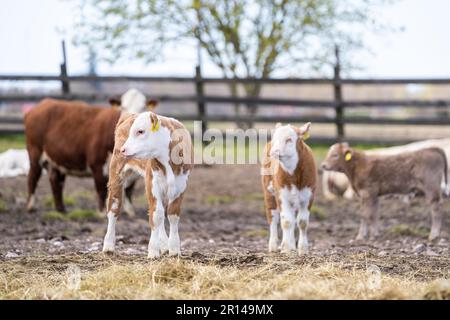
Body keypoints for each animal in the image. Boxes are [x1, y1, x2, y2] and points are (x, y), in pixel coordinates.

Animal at [103, 112, 192, 258]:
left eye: (140, 131)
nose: (123, 150)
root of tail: (129, 114)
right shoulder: (152, 183)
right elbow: (156, 216)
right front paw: (153, 251)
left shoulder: (181, 186)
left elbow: (172, 214)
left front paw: (174, 249)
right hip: (116, 174)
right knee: (113, 208)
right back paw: (108, 246)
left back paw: (164, 245)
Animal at [260, 122, 316, 255]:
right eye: (275, 139)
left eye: (289, 139)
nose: (274, 152)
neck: (293, 174)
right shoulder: (281, 195)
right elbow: (286, 221)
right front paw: (285, 248)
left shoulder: (309, 195)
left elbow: (302, 222)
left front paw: (303, 248)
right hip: (268, 191)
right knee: (273, 218)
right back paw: (274, 245)